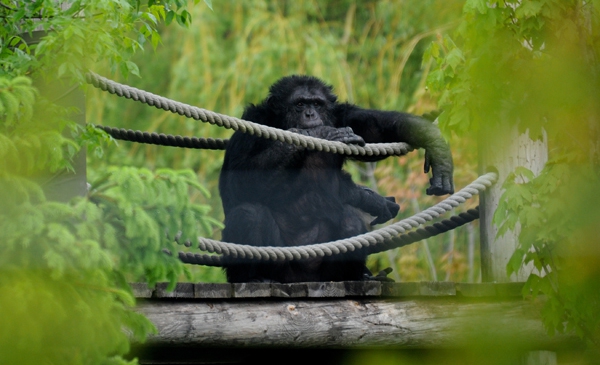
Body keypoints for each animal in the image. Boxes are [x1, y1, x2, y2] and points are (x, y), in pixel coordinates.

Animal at [218, 75, 452, 282]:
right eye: (300, 103)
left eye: (317, 103)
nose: (310, 114)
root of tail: (303, 279)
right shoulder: (251, 125)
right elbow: (237, 183)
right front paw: (319, 133)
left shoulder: (345, 116)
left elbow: (378, 126)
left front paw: (436, 148)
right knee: (249, 214)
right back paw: (254, 279)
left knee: (350, 222)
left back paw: (355, 277)